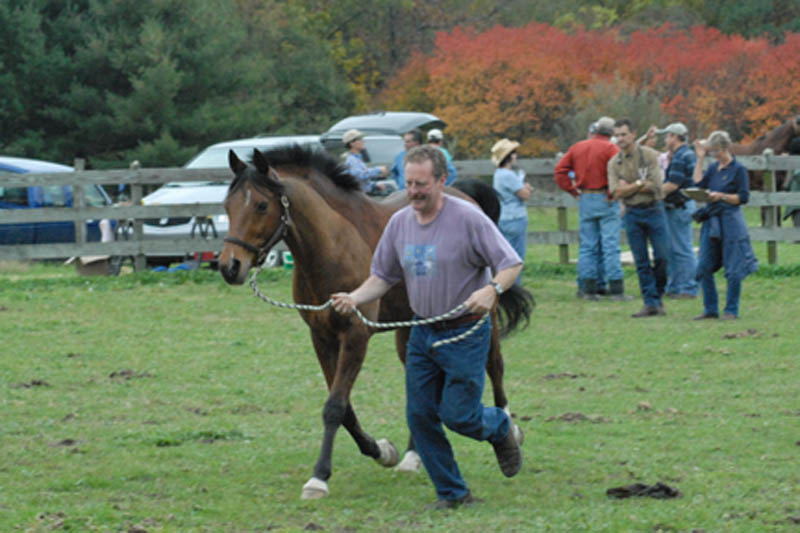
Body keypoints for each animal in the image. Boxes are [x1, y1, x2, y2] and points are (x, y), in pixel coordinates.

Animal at [216, 144, 536, 498]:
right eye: (227, 205)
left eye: (261, 205)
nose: (230, 267)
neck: (333, 244)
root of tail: (463, 197)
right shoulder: (321, 338)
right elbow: (345, 409)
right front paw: (382, 450)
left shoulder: (355, 336)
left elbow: (335, 406)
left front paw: (319, 478)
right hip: (409, 332)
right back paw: (412, 457)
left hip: (483, 315)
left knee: (495, 366)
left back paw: (511, 429)